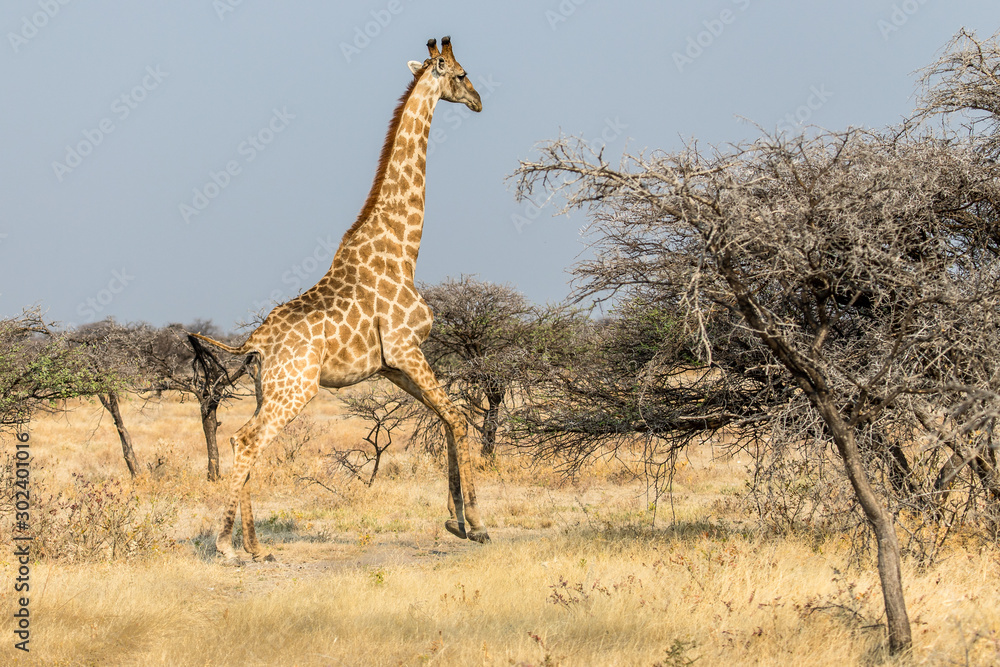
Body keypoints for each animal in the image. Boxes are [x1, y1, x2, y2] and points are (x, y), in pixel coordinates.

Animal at [191, 36, 489, 561]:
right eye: (460, 74)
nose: (479, 101)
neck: (403, 249)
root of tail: (254, 343)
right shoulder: (406, 348)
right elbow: (457, 416)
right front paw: (474, 523)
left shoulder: (392, 364)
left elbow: (447, 418)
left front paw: (456, 522)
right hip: (295, 389)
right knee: (247, 441)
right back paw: (227, 546)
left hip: (268, 388)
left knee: (244, 441)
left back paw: (256, 548)